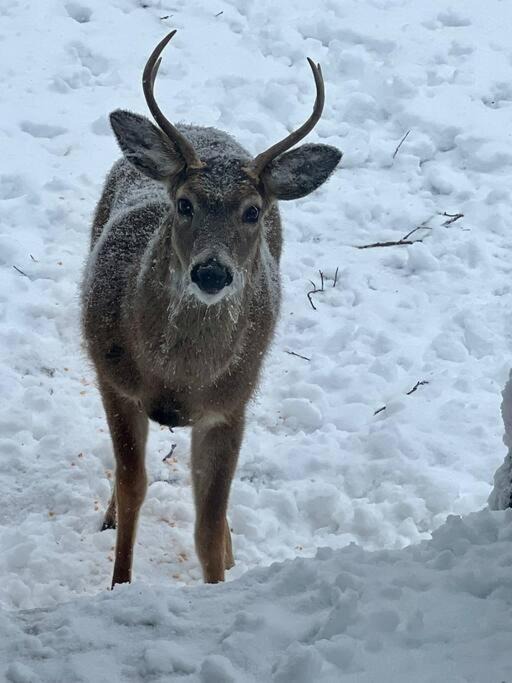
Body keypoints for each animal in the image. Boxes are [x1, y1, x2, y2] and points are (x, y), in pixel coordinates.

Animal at [81, 30, 342, 588]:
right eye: (184, 204)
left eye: (252, 212)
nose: (212, 272)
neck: (176, 378)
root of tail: (204, 129)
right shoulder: (114, 380)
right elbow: (135, 488)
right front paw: (119, 584)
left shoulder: (230, 404)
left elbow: (207, 521)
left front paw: (219, 578)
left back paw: (232, 549)